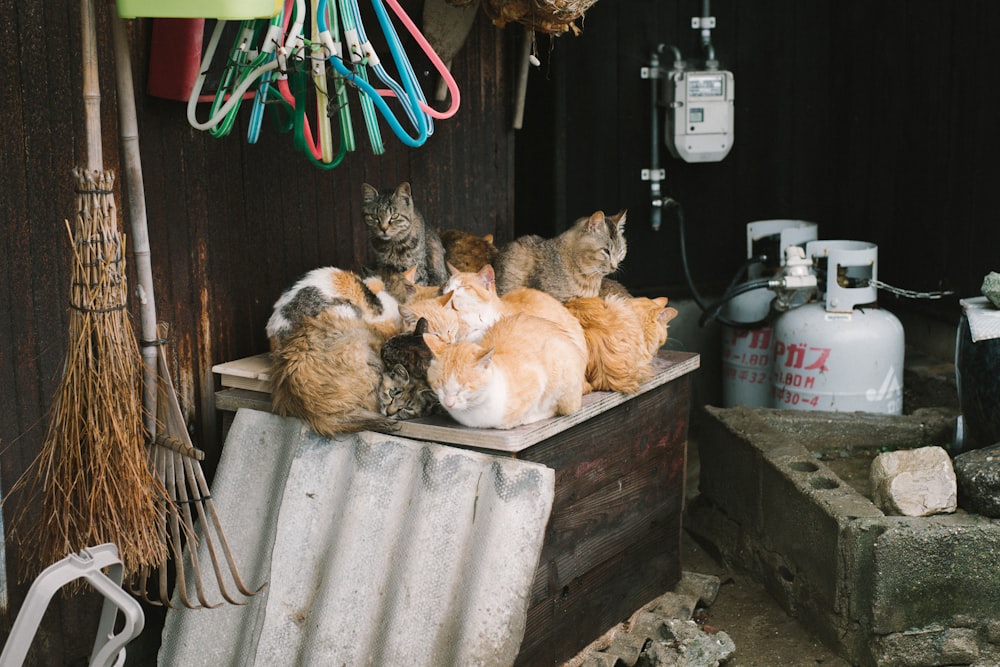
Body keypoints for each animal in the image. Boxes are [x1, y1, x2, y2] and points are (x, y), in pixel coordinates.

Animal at [424, 312, 592, 430]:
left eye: (463, 388)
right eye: (440, 385)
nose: (449, 403)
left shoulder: (537, 381)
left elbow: (538, 408)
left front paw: (526, 418)